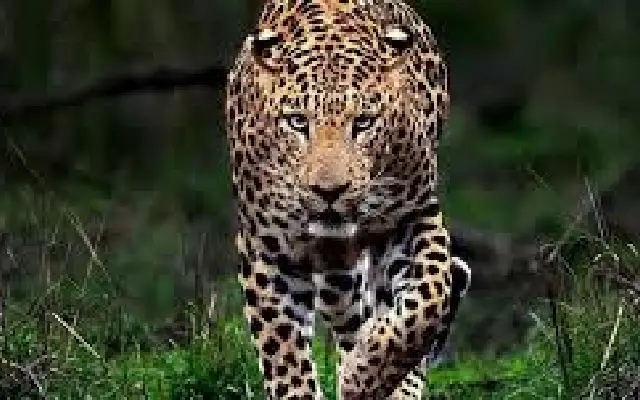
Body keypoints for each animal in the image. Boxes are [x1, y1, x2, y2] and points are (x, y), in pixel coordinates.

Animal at [225, 0, 471, 399]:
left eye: (364, 123)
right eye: (297, 122)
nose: (329, 191)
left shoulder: (415, 214)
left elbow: (430, 299)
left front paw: (364, 375)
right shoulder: (267, 249)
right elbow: (284, 354)